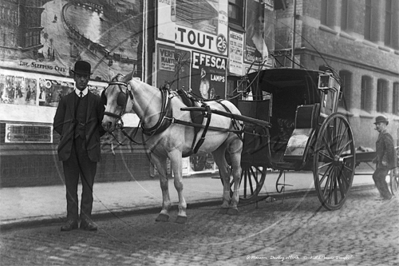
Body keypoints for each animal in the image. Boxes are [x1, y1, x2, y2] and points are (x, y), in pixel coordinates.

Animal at [101, 72, 244, 222]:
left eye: (120, 97)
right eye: (105, 95)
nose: (106, 123)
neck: (164, 113)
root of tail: (231, 105)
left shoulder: (175, 153)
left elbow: (178, 182)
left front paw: (182, 212)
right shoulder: (157, 155)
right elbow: (163, 183)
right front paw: (164, 211)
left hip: (235, 146)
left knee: (237, 173)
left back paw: (234, 205)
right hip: (218, 149)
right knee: (225, 173)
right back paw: (225, 204)